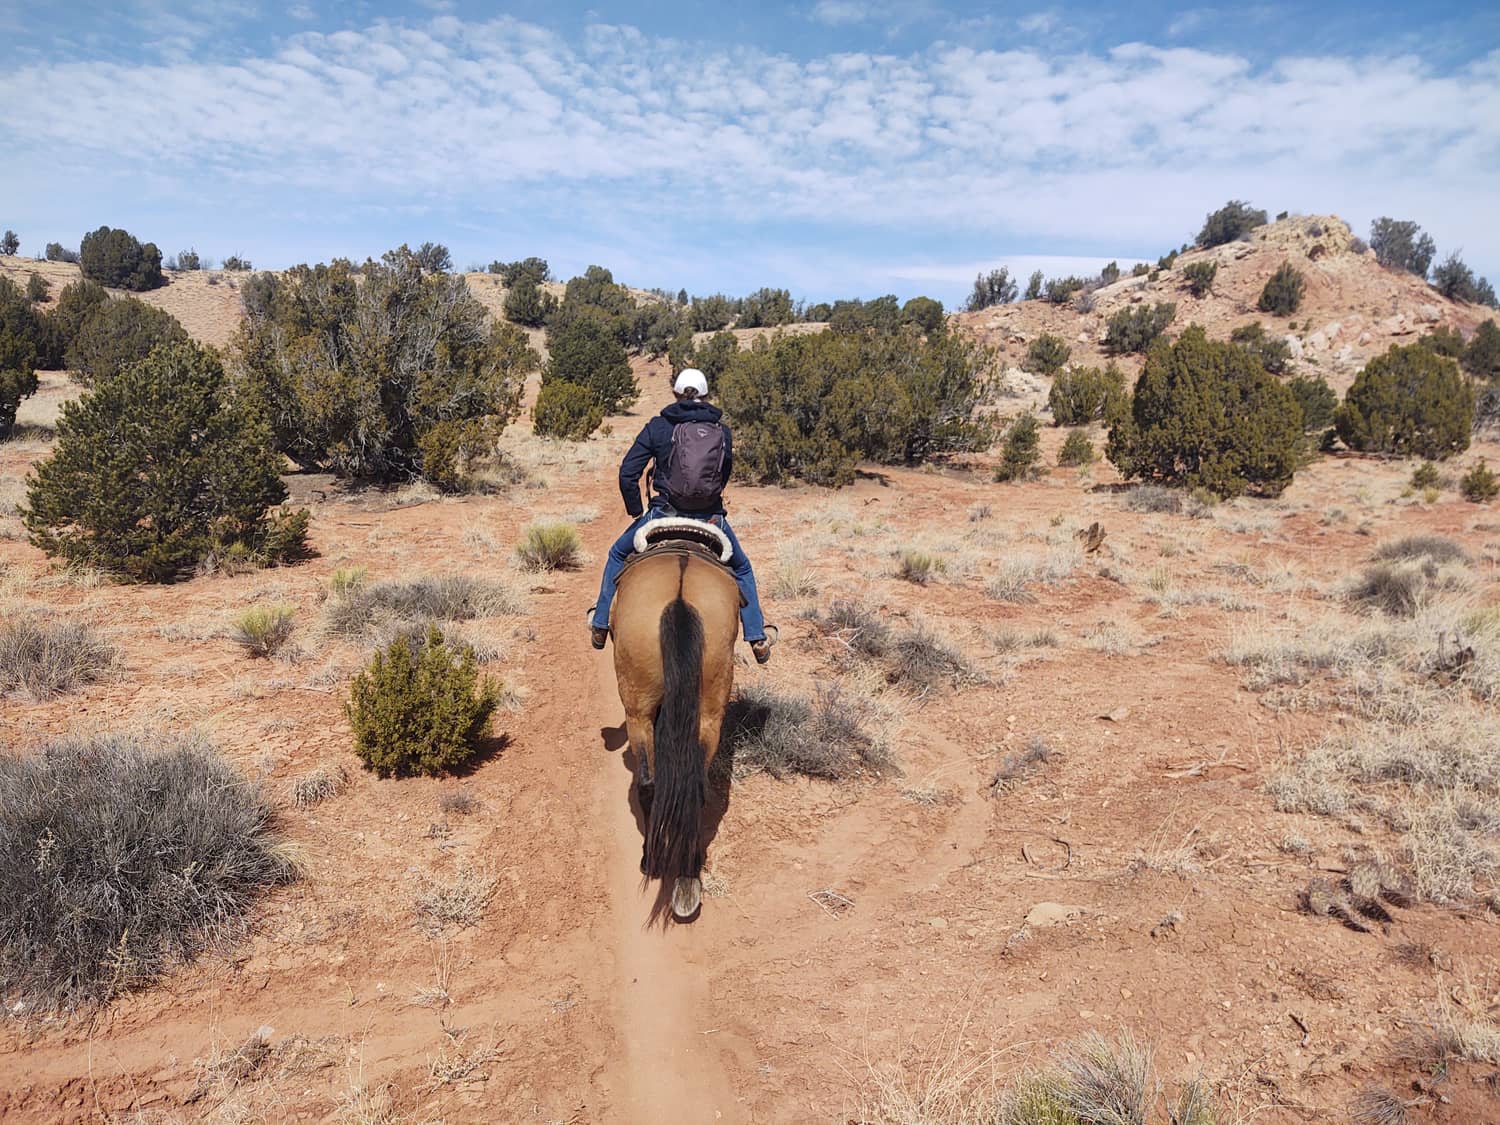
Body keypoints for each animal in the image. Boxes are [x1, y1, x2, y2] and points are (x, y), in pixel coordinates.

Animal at [610, 526, 740, 920]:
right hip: (709, 709)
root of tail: (679, 599)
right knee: (691, 786)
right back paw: (686, 874)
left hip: (636, 707)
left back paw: (650, 861)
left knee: (649, 781)